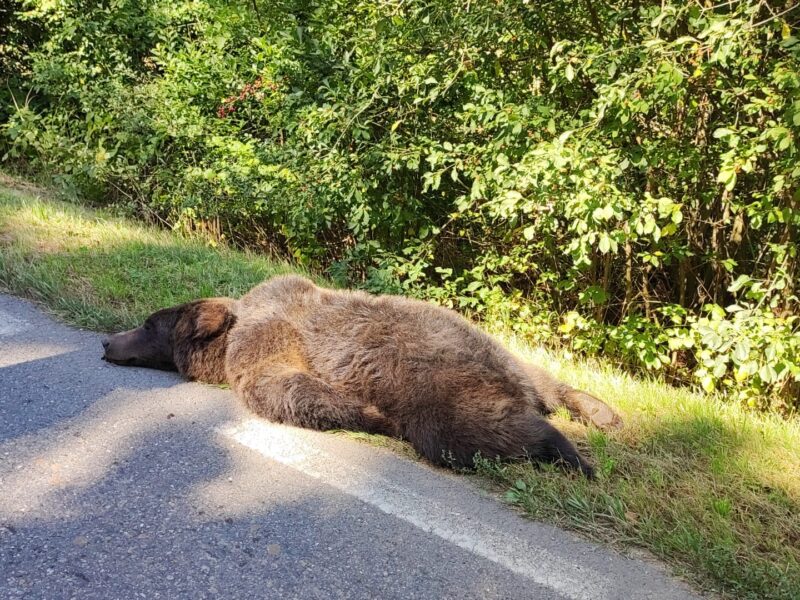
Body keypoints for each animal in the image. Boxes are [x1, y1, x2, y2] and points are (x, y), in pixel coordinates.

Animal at [103, 274, 620, 476]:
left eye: (148, 323)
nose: (107, 341)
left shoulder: (268, 338)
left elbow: (277, 385)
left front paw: (371, 415)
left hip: (446, 390)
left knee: (473, 432)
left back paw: (574, 455)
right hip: (505, 357)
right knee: (546, 380)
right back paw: (600, 412)